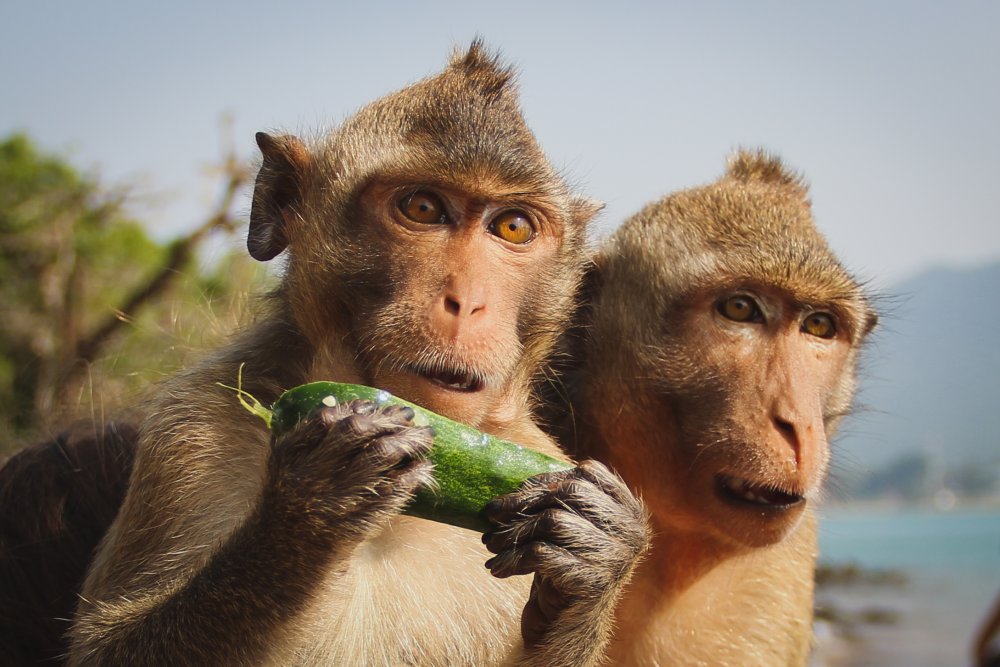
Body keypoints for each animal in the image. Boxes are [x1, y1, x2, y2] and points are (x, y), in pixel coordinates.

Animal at [68, 43, 648, 667]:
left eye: (513, 226)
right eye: (423, 208)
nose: (467, 302)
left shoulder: (538, 453)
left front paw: (596, 551)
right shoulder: (191, 429)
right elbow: (103, 648)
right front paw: (308, 509)